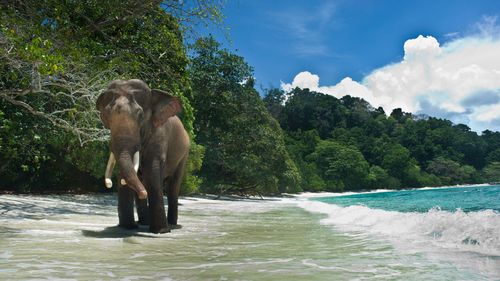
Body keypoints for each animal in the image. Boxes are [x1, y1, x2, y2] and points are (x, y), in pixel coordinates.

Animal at [96, 78, 189, 232]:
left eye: (140, 116)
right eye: (106, 117)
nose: (109, 184)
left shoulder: (159, 134)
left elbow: (152, 171)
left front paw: (161, 232)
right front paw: (127, 227)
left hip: (184, 154)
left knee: (173, 186)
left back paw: (172, 224)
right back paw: (143, 222)